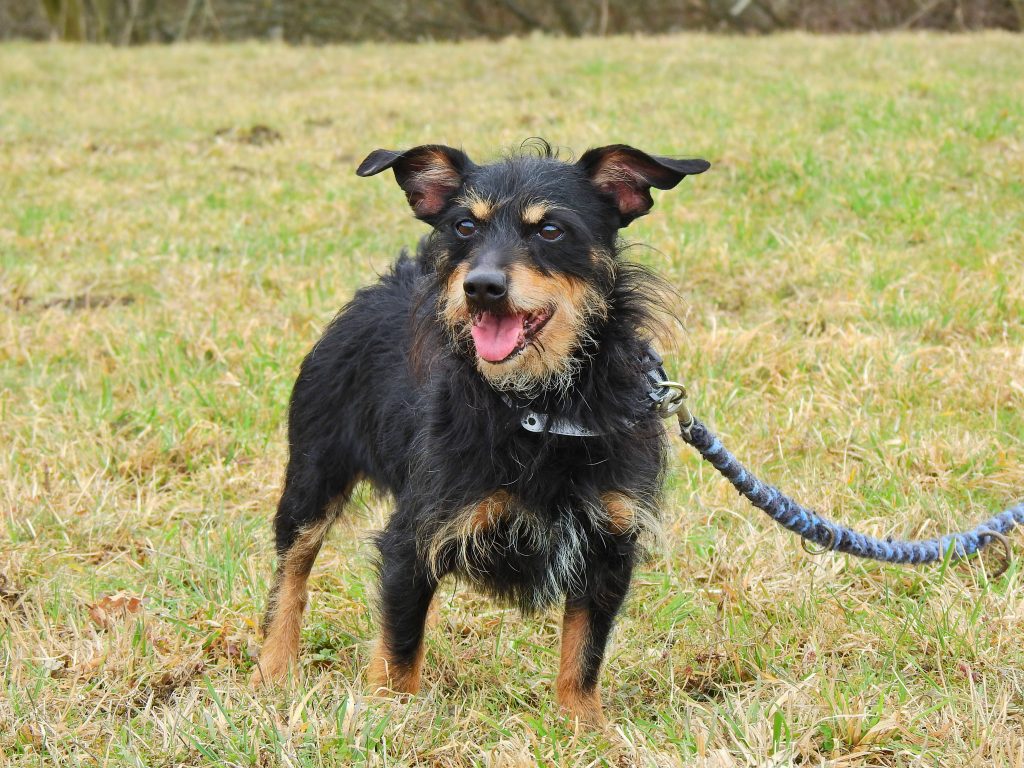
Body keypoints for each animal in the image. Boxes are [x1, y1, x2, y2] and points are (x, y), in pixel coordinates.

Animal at [252, 140, 709, 725]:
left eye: (551, 230)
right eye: (465, 226)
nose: (481, 287)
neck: (537, 403)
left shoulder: (609, 544)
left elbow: (583, 654)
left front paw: (585, 728)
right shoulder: (412, 540)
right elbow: (400, 650)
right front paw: (390, 720)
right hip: (312, 474)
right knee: (291, 574)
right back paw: (273, 669)